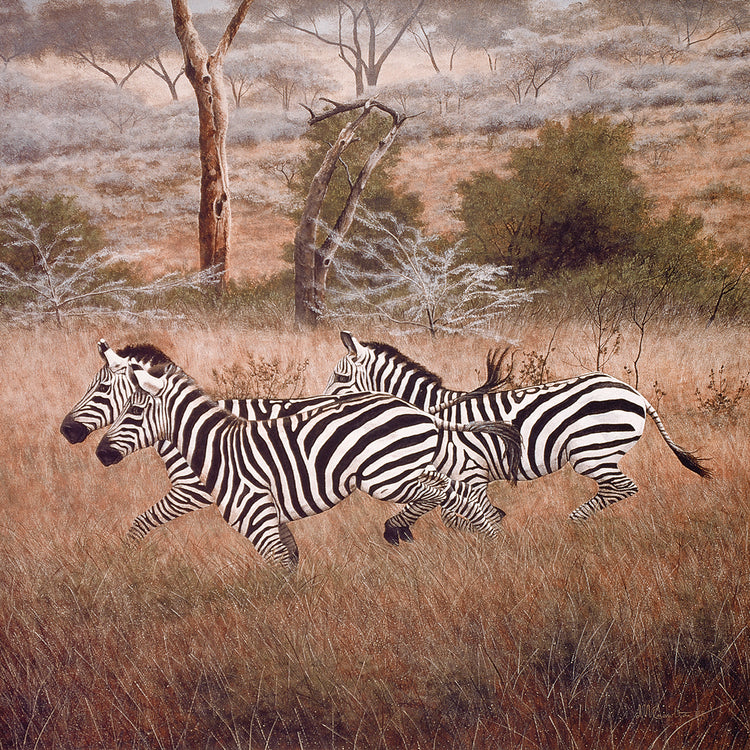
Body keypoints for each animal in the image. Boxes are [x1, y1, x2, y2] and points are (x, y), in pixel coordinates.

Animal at [325, 331, 711, 521]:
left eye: (341, 378)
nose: (322, 407)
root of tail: (632, 390)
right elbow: (432, 507)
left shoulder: (471, 473)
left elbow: (460, 513)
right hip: (598, 452)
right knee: (617, 489)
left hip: (591, 451)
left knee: (621, 488)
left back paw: (572, 525)